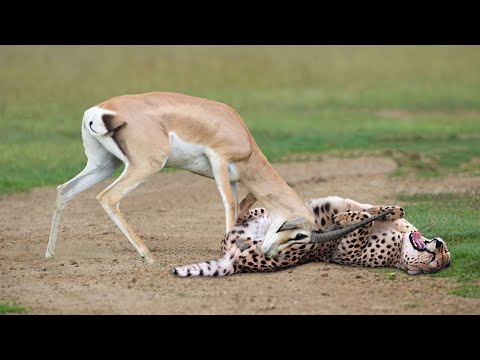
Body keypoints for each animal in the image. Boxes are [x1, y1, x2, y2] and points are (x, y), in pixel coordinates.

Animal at [172, 195, 450, 278]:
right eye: (445, 254)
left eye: (438, 262)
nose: (439, 244)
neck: (403, 241)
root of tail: (234, 258)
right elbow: (380, 210)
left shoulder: (345, 251)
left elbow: (360, 220)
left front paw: (342, 219)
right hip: (254, 220)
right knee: (246, 212)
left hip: (288, 248)